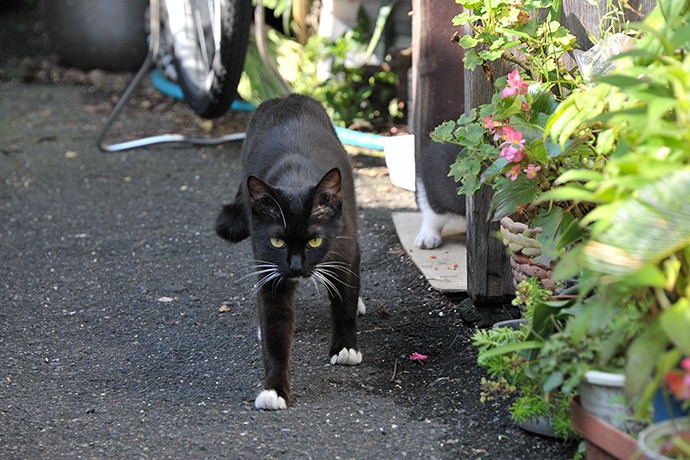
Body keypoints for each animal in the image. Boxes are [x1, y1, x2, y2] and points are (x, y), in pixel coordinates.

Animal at [216, 94, 362, 410]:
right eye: (278, 242)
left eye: (315, 241)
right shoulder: (268, 266)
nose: (295, 267)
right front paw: (274, 389)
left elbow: (344, 300)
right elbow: (275, 325)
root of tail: (286, 97)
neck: (295, 178)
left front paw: (345, 347)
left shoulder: (344, 247)